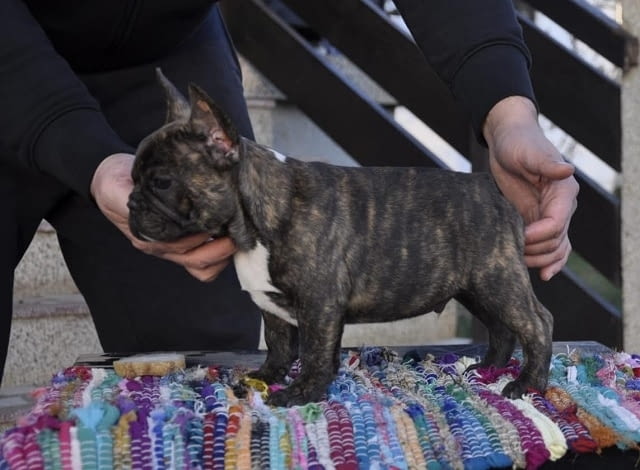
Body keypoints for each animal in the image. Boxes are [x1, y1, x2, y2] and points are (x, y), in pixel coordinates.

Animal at [127, 70, 552, 408]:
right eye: (132, 177)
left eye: (162, 182)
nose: (131, 203)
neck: (258, 219)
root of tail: (494, 186)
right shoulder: (273, 304)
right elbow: (279, 344)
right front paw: (267, 376)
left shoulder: (319, 305)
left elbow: (314, 351)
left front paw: (301, 393)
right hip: (475, 287)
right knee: (501, 327)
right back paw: (489, 368)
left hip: (496, 278)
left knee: (536, 322)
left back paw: (526, 383)